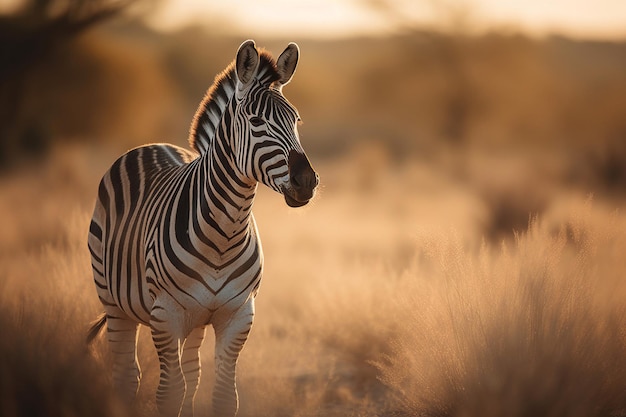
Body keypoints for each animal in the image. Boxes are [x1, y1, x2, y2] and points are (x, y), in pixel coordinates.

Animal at [86, 39, 316, 416]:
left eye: (296, 120)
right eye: (256, 121)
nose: (307, 181)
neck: (225, 230)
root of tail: (151, 145)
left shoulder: (238, 314)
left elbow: (222, 395)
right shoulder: (165, 313)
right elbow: (169, 393)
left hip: (194, 321)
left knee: (191, 374)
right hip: (114, 302)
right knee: (127, 375)